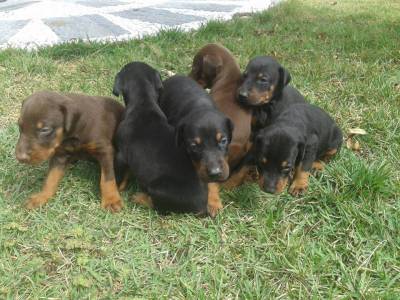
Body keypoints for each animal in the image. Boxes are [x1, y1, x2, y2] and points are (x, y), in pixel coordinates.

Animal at [111, 61, 220, 216]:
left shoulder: (121, 155)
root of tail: (202, 208)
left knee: (159, 208)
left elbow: (119, 177)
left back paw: (139, 198)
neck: (143, 102)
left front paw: (119, 189)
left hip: (158, 189)